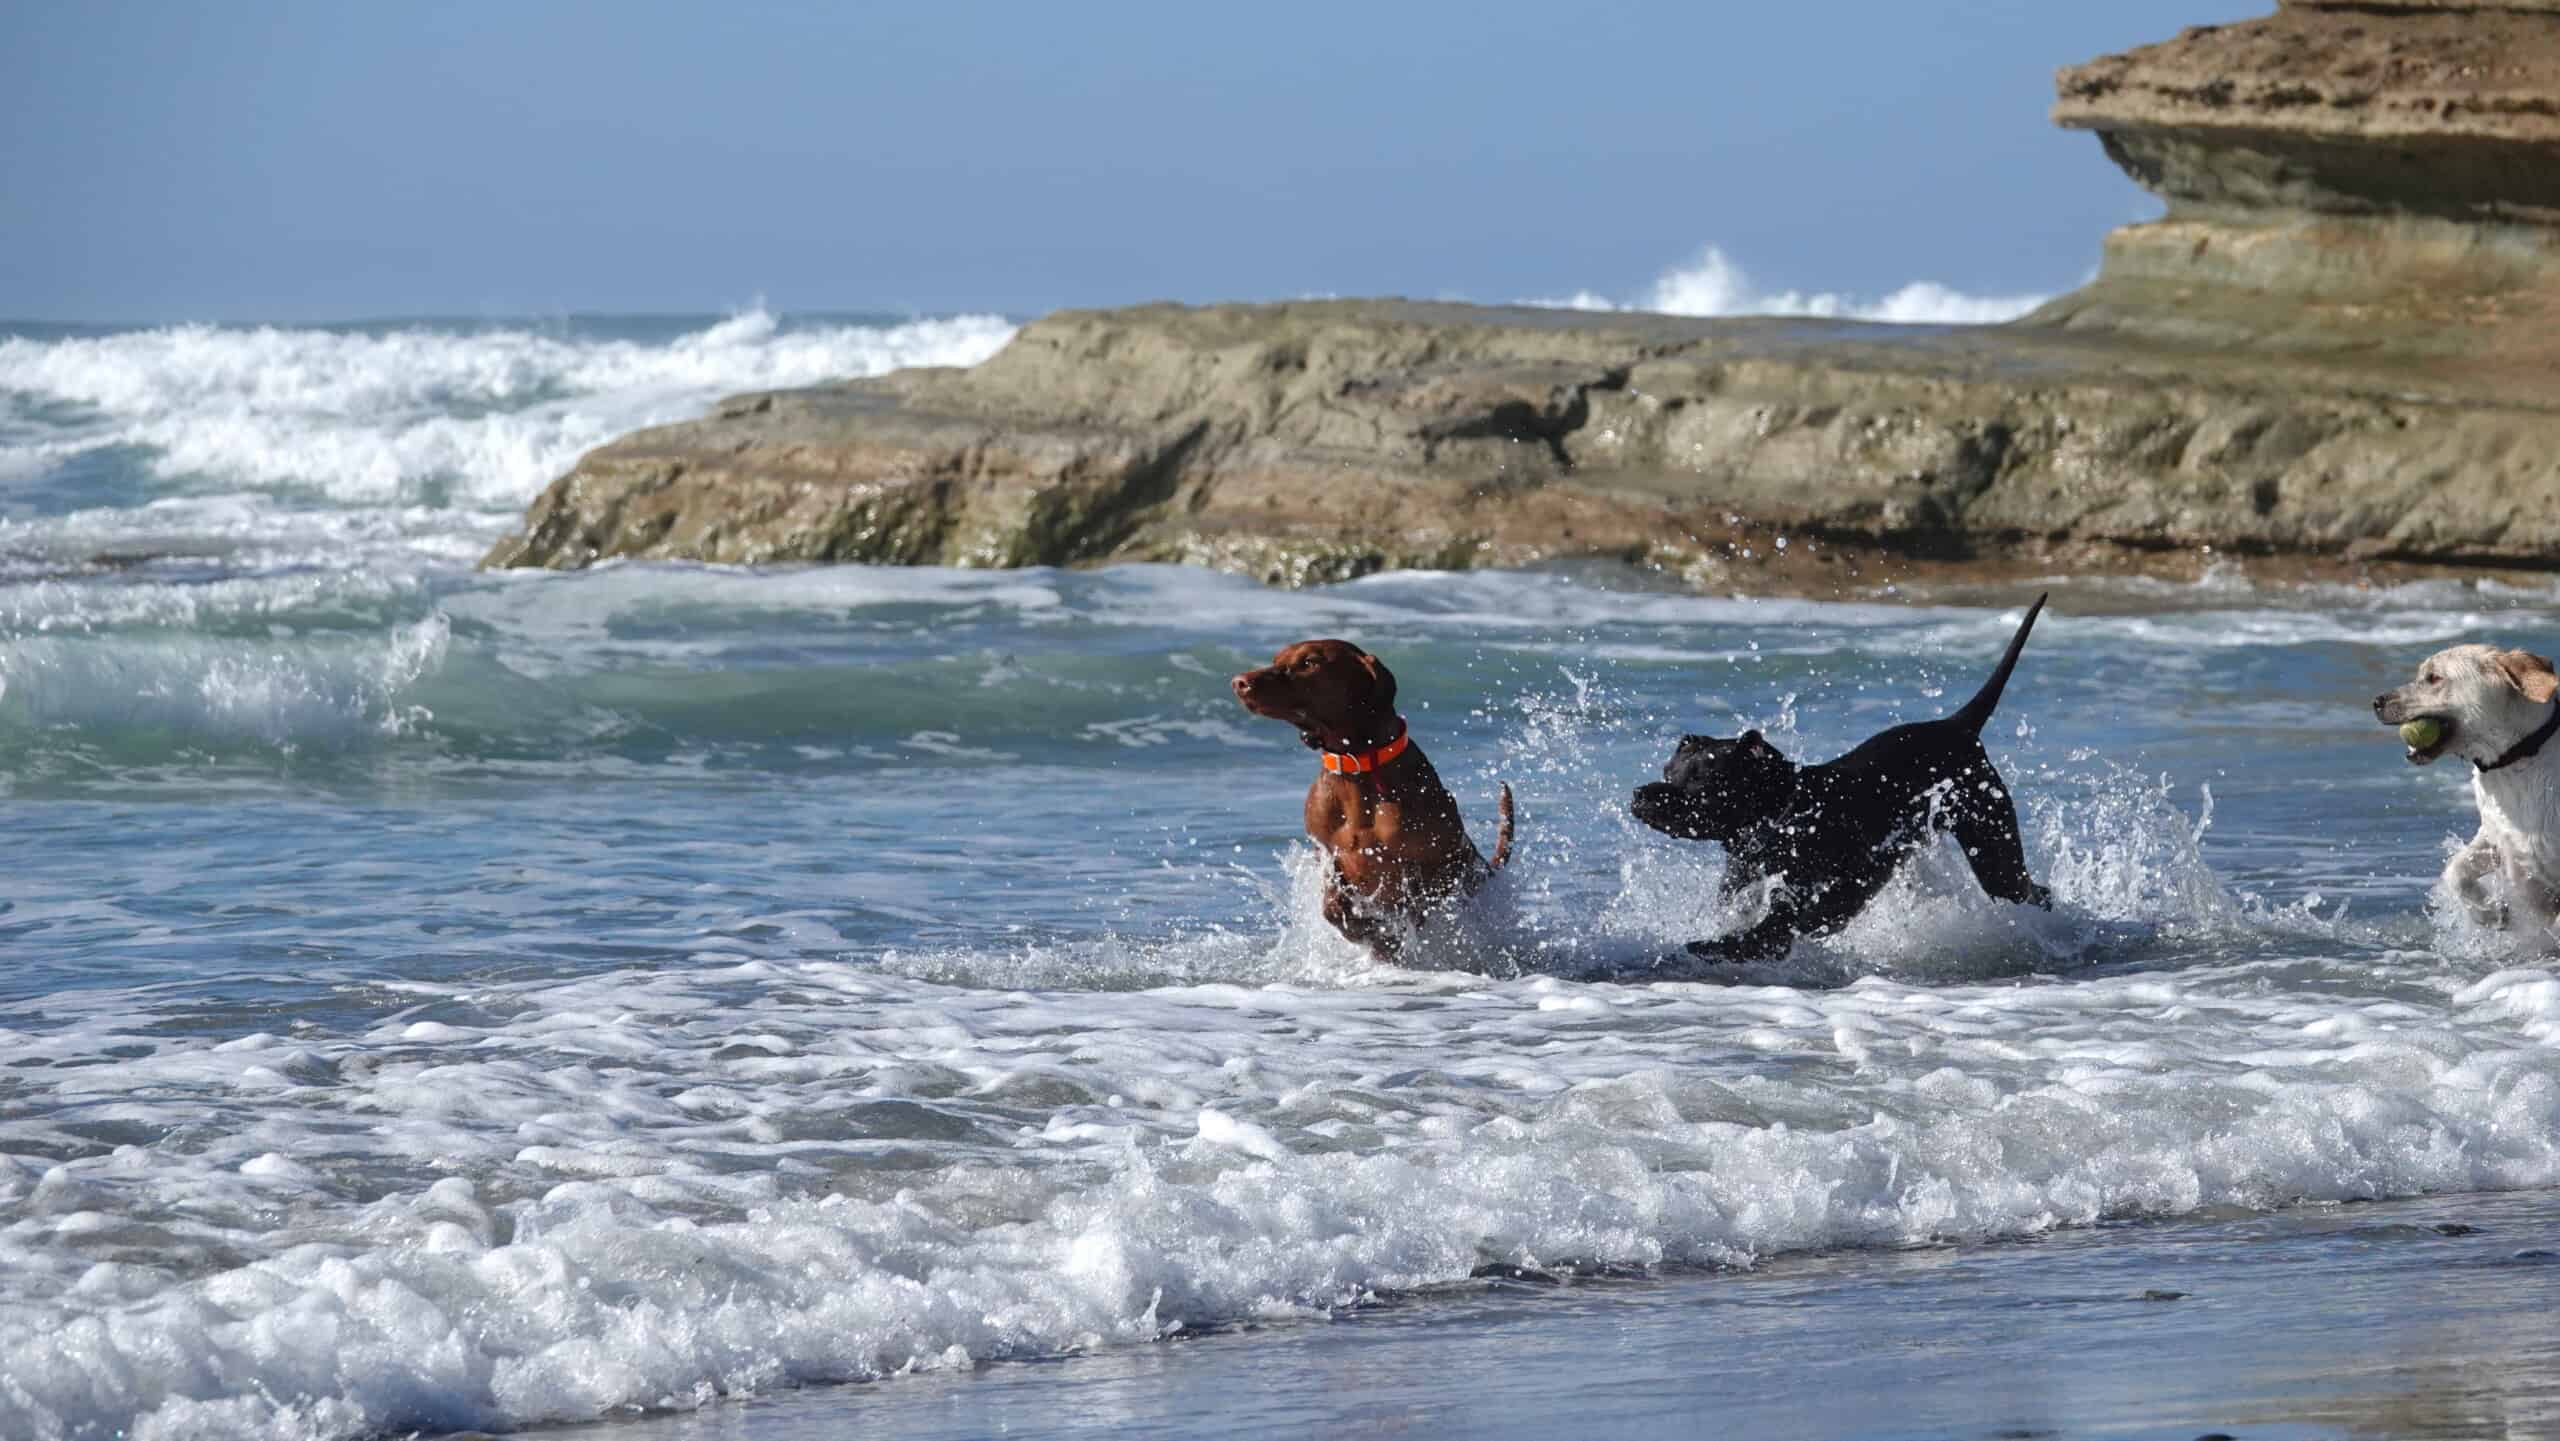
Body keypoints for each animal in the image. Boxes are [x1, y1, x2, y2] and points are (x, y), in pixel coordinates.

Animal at [1228, 642, 1505, 957]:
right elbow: (1334, 908)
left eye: (1309, 662)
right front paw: (1373, 935)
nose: (1239, 682)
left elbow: (1415, 905)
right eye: (1276, 659)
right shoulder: (1327, 856)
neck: (1357, 766)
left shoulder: (1436, 864)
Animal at [1638, 591, 2058, 962]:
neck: (1783, 816)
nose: (1640, 793)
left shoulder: (1811, 905)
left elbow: (1762, 934)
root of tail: (1957, 725)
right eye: (1669, 771)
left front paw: (1714, 948)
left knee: (2032, 891)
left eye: (1700, 781)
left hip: (1993, 851)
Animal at [2375, 644, 2560, 936]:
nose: (2376, 702)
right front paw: (2489, 913)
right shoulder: (2497, 836)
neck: (2518, 758)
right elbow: (2455, 868)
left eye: (2433, 678)